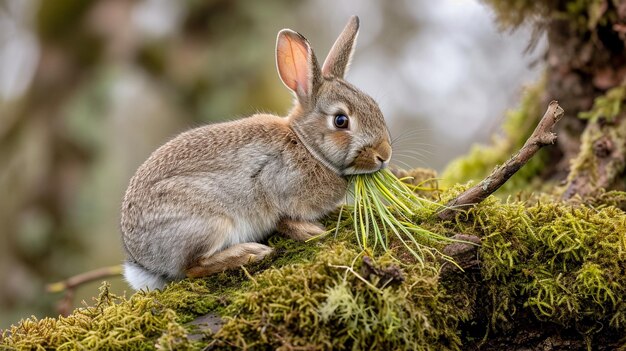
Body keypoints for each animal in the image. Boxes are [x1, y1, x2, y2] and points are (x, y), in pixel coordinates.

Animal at [119, 15, 390, 292]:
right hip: (210, 222)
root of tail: (143, 262)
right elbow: (285, 220)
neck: (307, 146)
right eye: (340, 120)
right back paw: (250, 252)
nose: (384, 155)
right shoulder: (278, 187)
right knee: (193, 267)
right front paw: (312, 232)